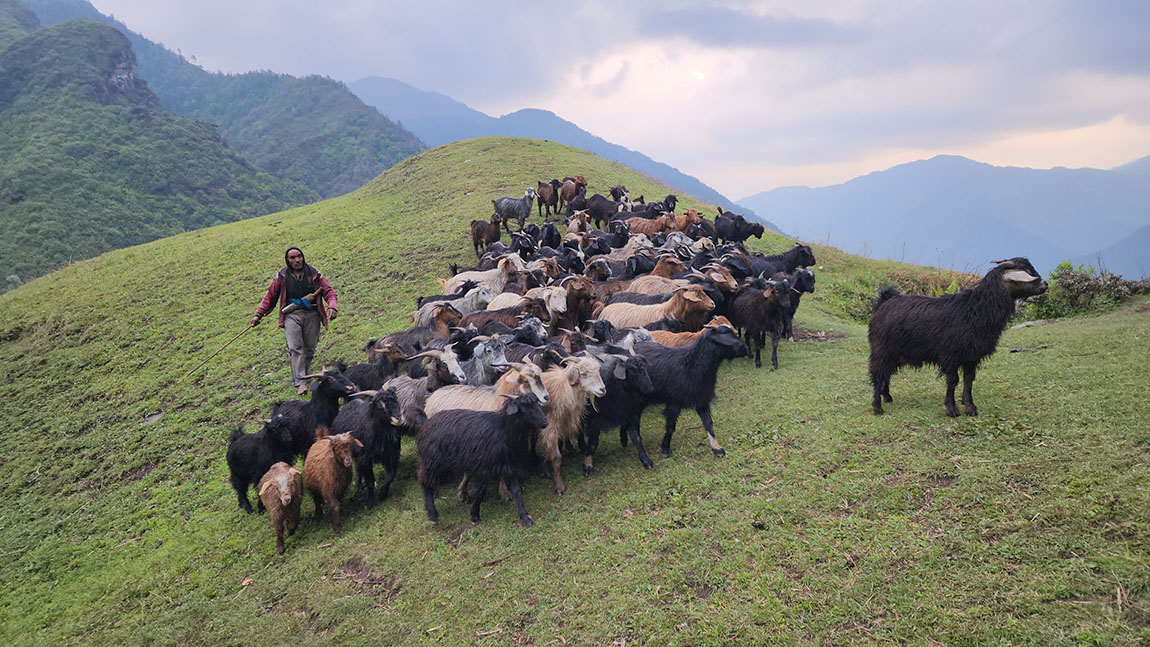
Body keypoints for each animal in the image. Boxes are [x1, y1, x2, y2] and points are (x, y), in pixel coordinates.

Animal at [418, 393, 547, 528]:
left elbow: (517, 492)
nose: (545, 422)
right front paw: (474, 515)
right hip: (430, 461)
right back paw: (432, 515)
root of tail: (427, 423)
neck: (504, 429)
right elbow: (479, 492)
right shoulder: (482, 468)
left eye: (537, 404)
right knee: (426, 485)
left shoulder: (511, 466)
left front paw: (525, 517)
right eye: (526, 407)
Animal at [864, 258, 1048, 420]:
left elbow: (968, 380)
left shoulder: (971, 356)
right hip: (880, 349)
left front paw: (970, 407)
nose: (1045, 284)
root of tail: (884, 301)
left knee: (887, 373)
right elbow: (953, 381)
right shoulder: (950, 355)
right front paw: (951, 409)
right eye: (1027, 274)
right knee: (878, 374)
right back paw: (877, 407)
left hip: (894, 353)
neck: (974, 310)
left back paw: (887, 396)